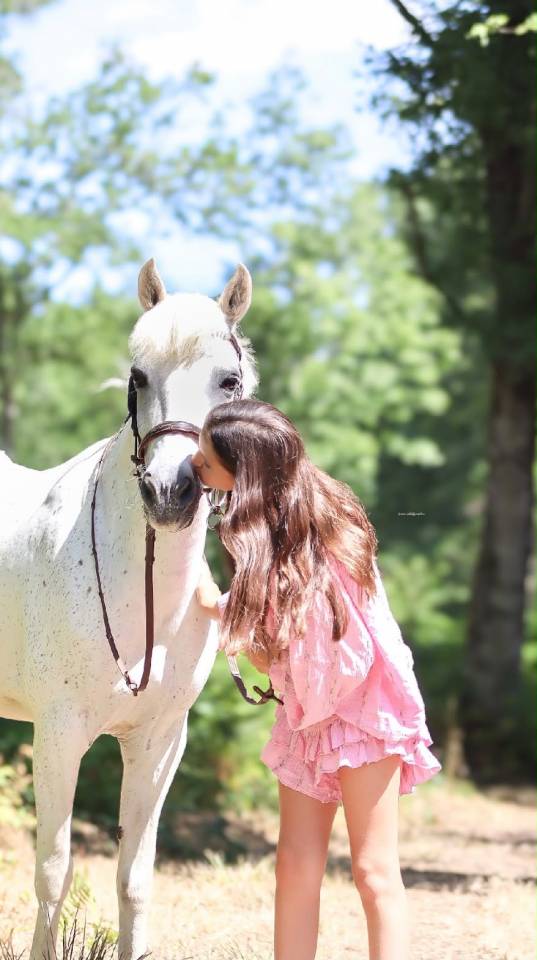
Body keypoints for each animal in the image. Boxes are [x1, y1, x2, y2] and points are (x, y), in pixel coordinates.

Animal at [0, 258, 258, 960]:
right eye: (138, 377)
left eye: (229, 381)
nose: (170, 492)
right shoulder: (58, 735)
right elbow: (54, 872)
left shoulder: (159, 741)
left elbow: (134, 878)